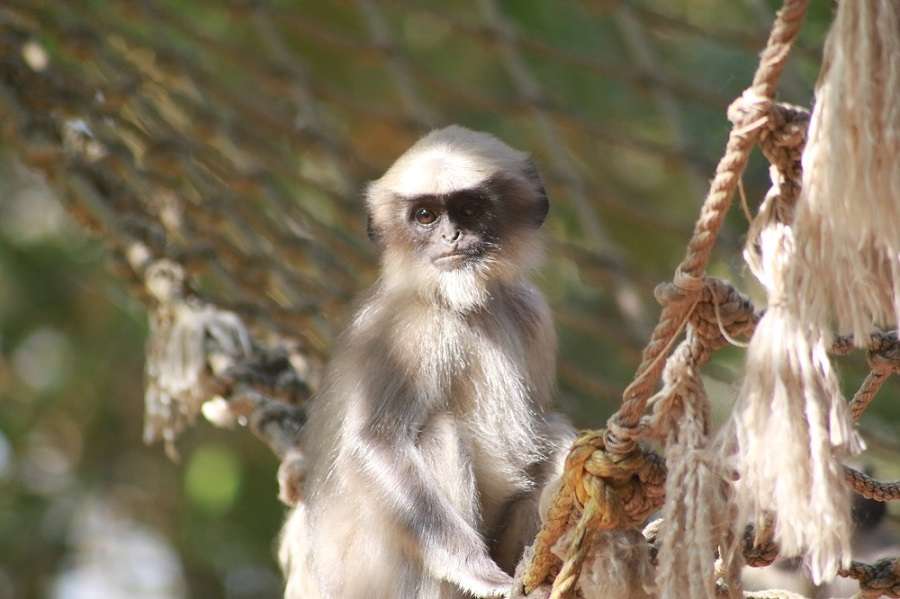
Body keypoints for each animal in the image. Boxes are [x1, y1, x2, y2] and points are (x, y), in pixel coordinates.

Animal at [278, 124, 572, 596]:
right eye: (425, 216)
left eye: (470, 210)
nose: (451, 238)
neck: (463, 306)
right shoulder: (405, 331)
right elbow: (377, 443)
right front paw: (479, 571)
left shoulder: (532, 312)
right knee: (439, 434)